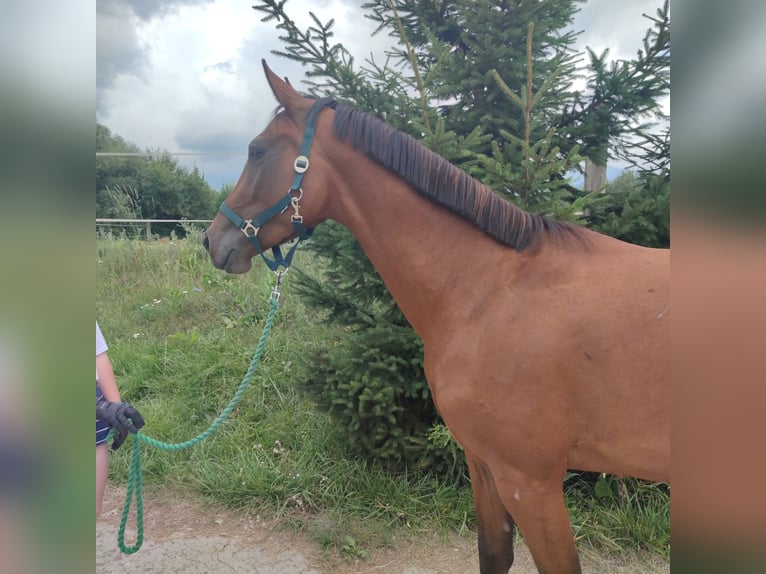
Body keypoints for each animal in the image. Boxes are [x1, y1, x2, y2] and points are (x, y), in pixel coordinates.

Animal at [204, 60, 672, 572]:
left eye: (256, 151)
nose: (211, 240)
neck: (491, 289)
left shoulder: (532, 483)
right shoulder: (483, 463)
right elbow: (493, 554)